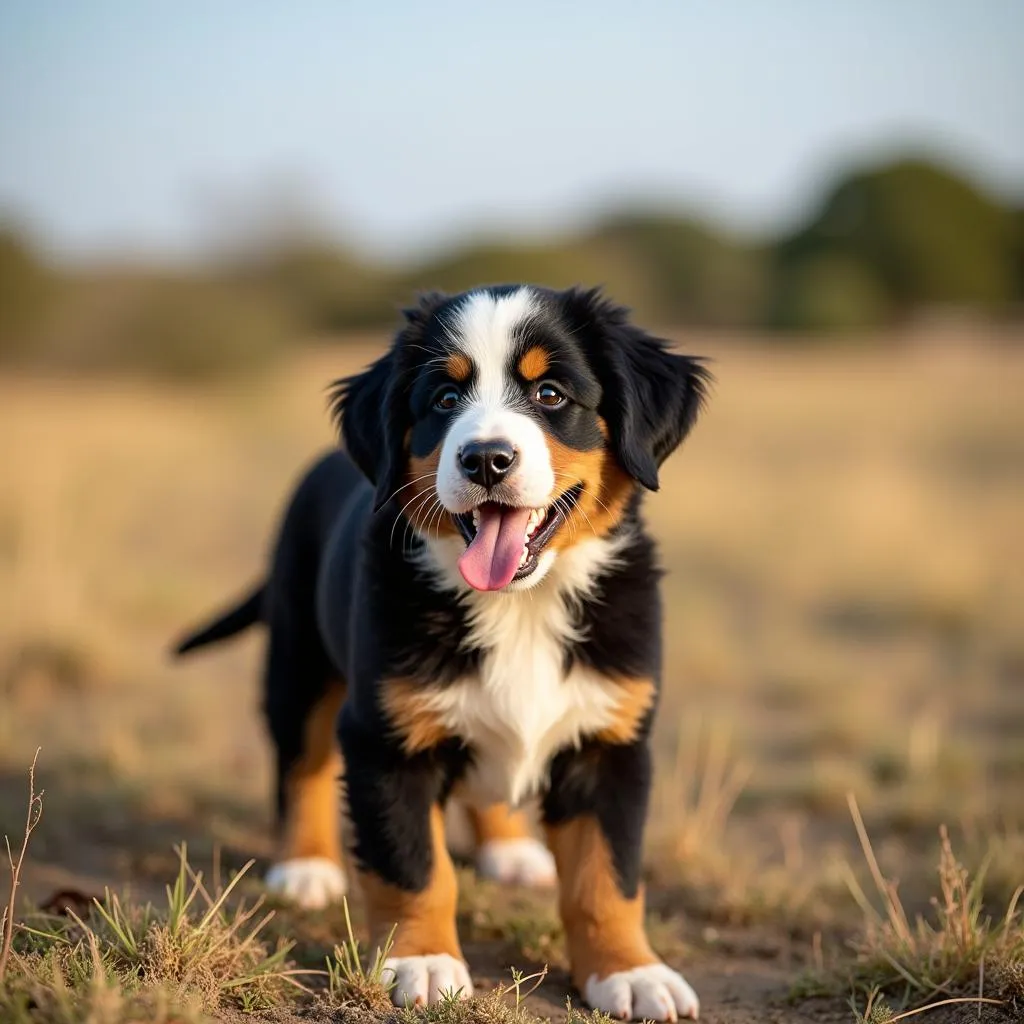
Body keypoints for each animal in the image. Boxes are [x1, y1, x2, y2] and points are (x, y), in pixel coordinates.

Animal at [172, 284, 708, 1019]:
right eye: (445, 400)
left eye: (549, 394)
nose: (485, 458)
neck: (521, 607)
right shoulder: (385, 737)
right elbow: (414, 865)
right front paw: (422, 962)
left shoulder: (611, 743)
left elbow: (608, 875)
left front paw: (630, 972)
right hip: (298, 659)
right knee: (301, 762)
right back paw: (306, 866)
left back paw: (511, 852)